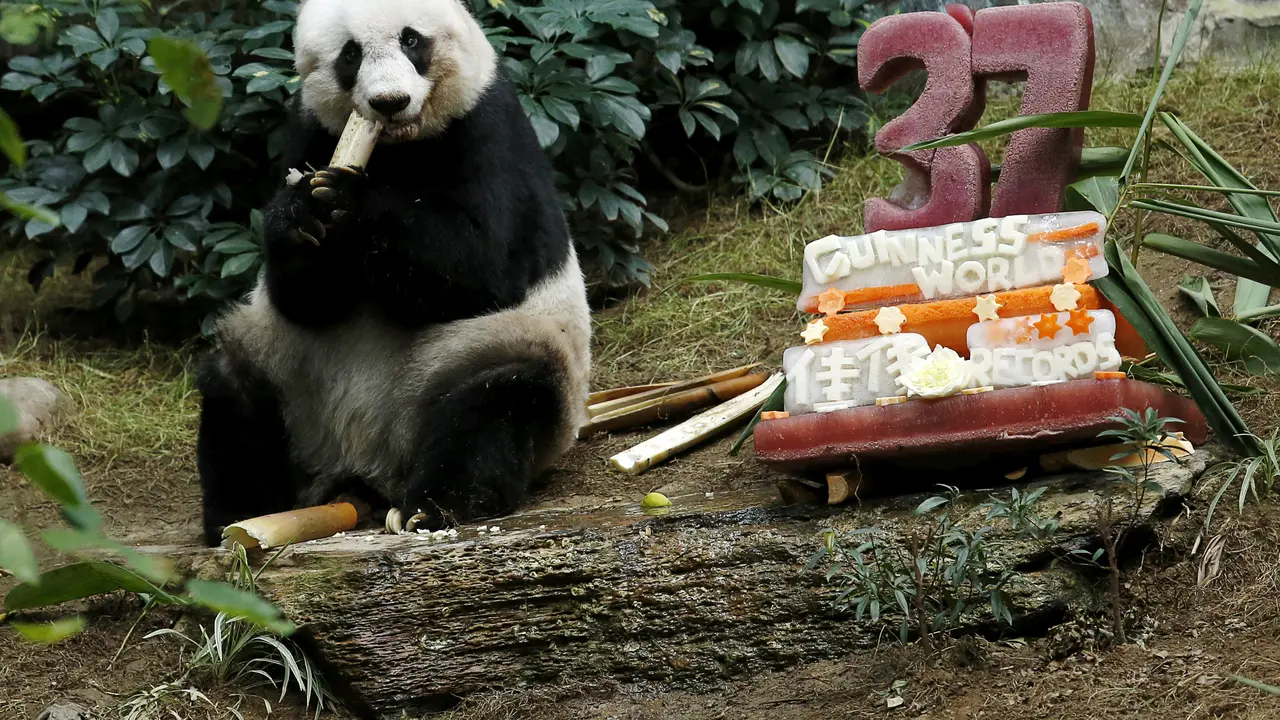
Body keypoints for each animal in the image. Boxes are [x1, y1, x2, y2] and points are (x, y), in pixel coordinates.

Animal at [195, 0, 591, 546]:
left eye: (411, 39)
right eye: (350, 53)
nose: (389, 102)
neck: (399, 146)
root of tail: (364, 468)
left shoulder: (489, 126)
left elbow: (484, 263)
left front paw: (349, 201)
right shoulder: (310, 130)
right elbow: (302, 299)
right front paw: (300, 214)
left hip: (478, 355)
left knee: (499, 401)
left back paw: (431, 507)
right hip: (289, 375)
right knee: (234, 391)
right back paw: (241, 512)